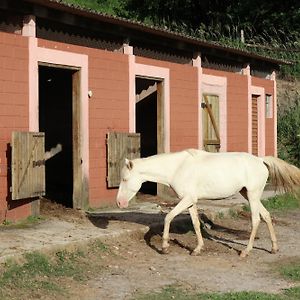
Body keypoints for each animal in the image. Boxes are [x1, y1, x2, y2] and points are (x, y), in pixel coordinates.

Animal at [116, 150, 300, 258]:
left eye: (125, 179)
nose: (119, 202)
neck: (177, 168)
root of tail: (261, 160)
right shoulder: (191, 202)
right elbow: (196, 224)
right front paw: (197, 249)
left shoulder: (187, 200)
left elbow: (168, 217)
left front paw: (164, 247)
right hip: (249, 195)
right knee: (267, 216)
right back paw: (274, 248)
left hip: (253, 196)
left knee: (256, 220)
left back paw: (245, 252)